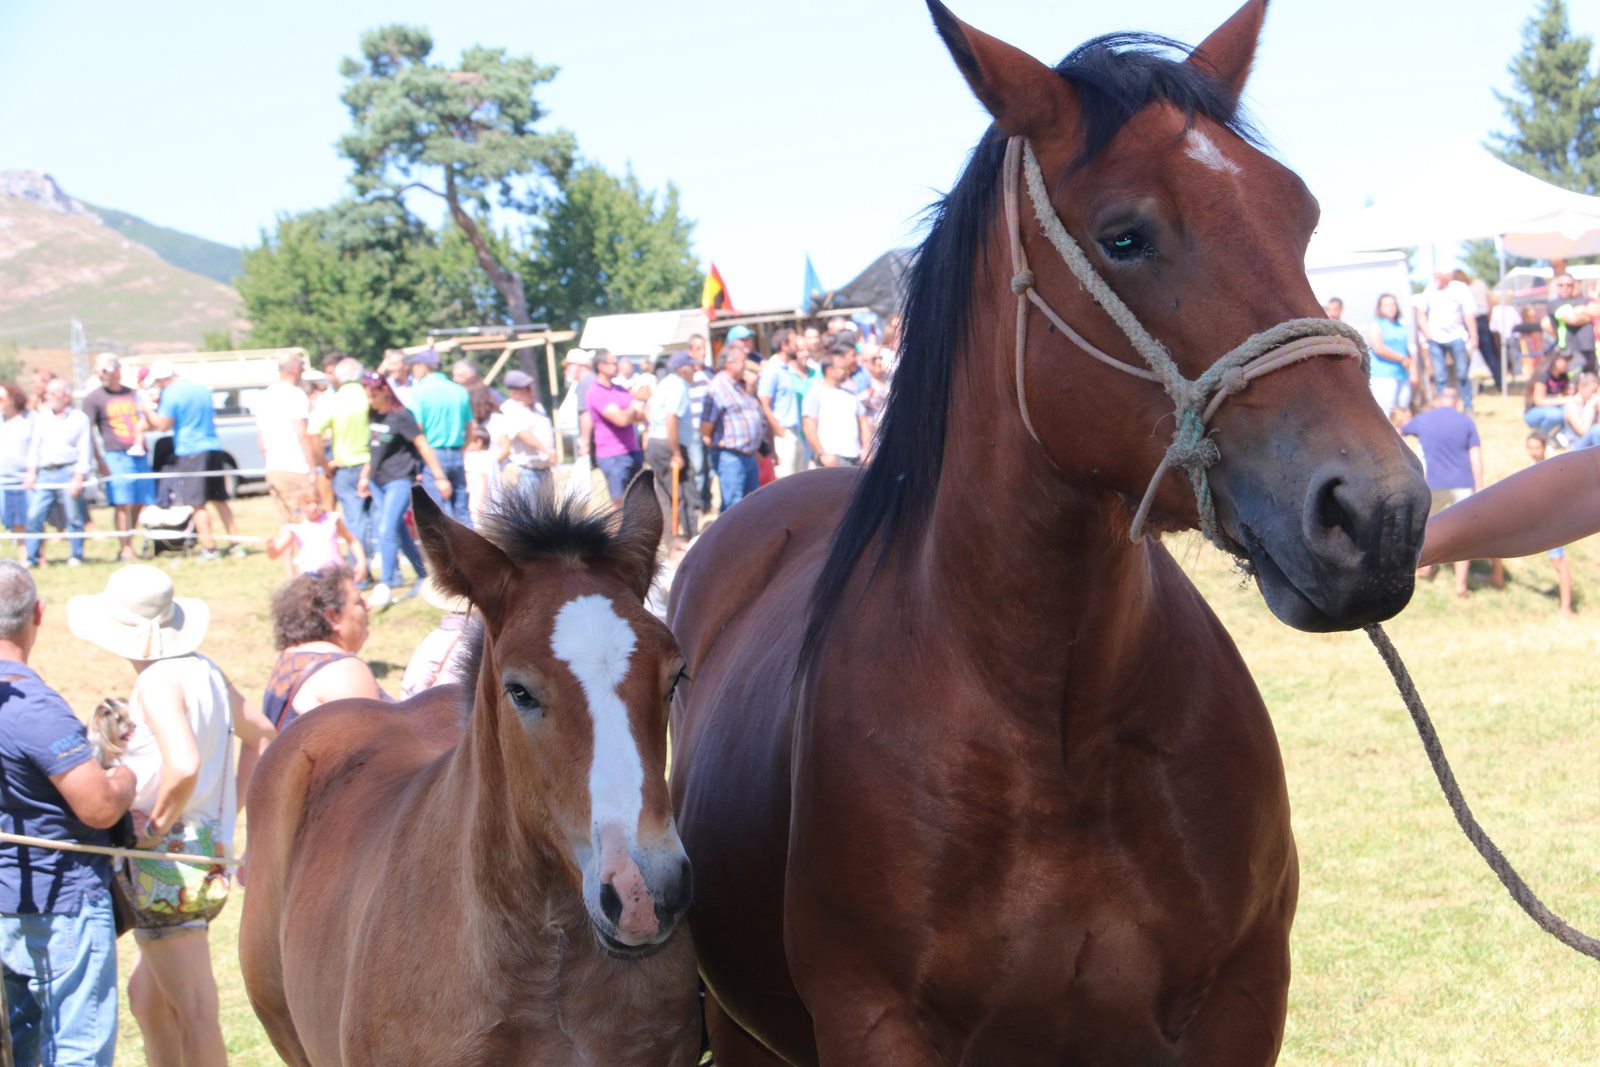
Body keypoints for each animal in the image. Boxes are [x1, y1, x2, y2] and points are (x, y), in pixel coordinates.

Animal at [668, 2, 1433, 1067]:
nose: (1378, 510)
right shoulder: (874, 1021)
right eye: (1124, 236)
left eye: (1303, 215)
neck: (1056, 725)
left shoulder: (1242, 999)